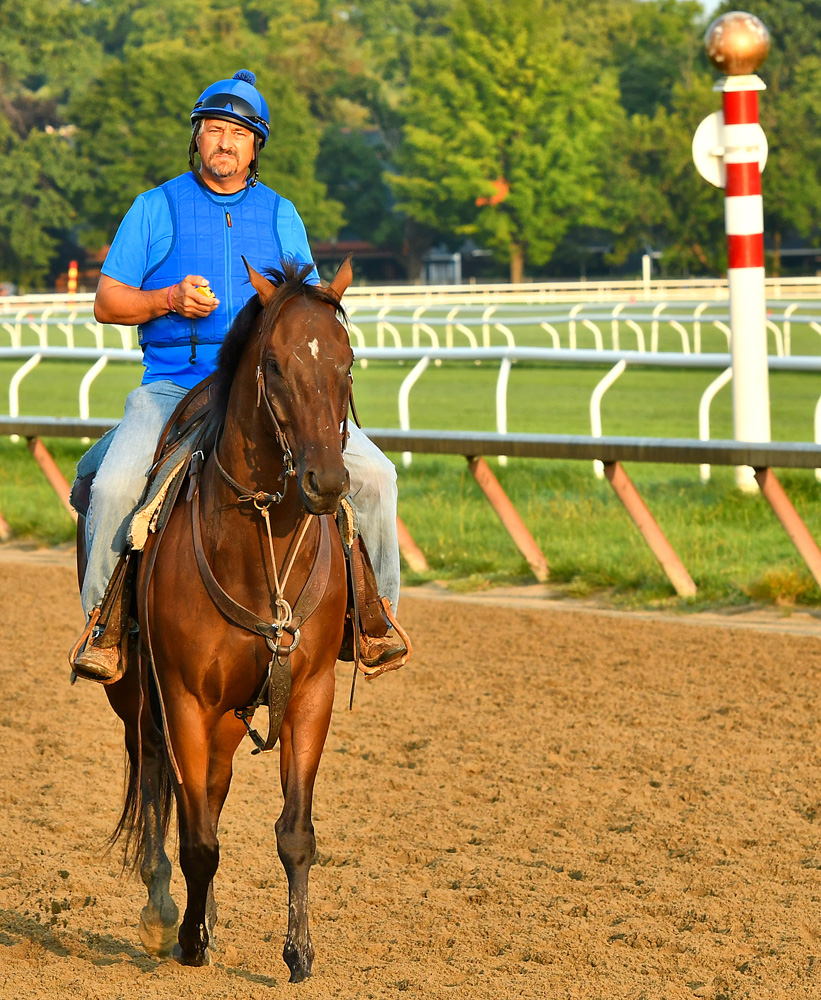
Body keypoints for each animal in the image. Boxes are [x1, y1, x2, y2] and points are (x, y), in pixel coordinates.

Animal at [87, 254, 356, 980]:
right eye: (276, 365)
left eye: (348, 362)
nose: (326, 482)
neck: (256, 548)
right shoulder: (183, 696)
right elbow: (197, 835)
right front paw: (184, 940)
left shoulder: (310, 692)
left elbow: (294, 832)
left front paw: (299, 951)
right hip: (137, 697)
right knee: (159, 782)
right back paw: (165, 914)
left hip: (230, 718)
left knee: (208, 788)